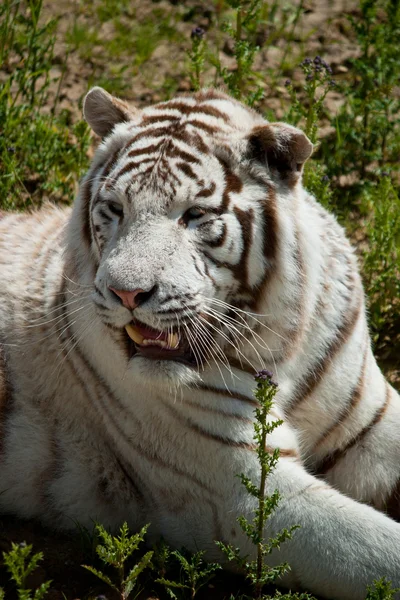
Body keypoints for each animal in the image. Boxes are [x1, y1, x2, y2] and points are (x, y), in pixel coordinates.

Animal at [0, 85, 398, 600]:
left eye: (194, 215)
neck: (285, 346)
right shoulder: (236, 493)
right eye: (115, 209)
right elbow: (378, 549)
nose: (126, 293)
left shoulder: (370, 423)